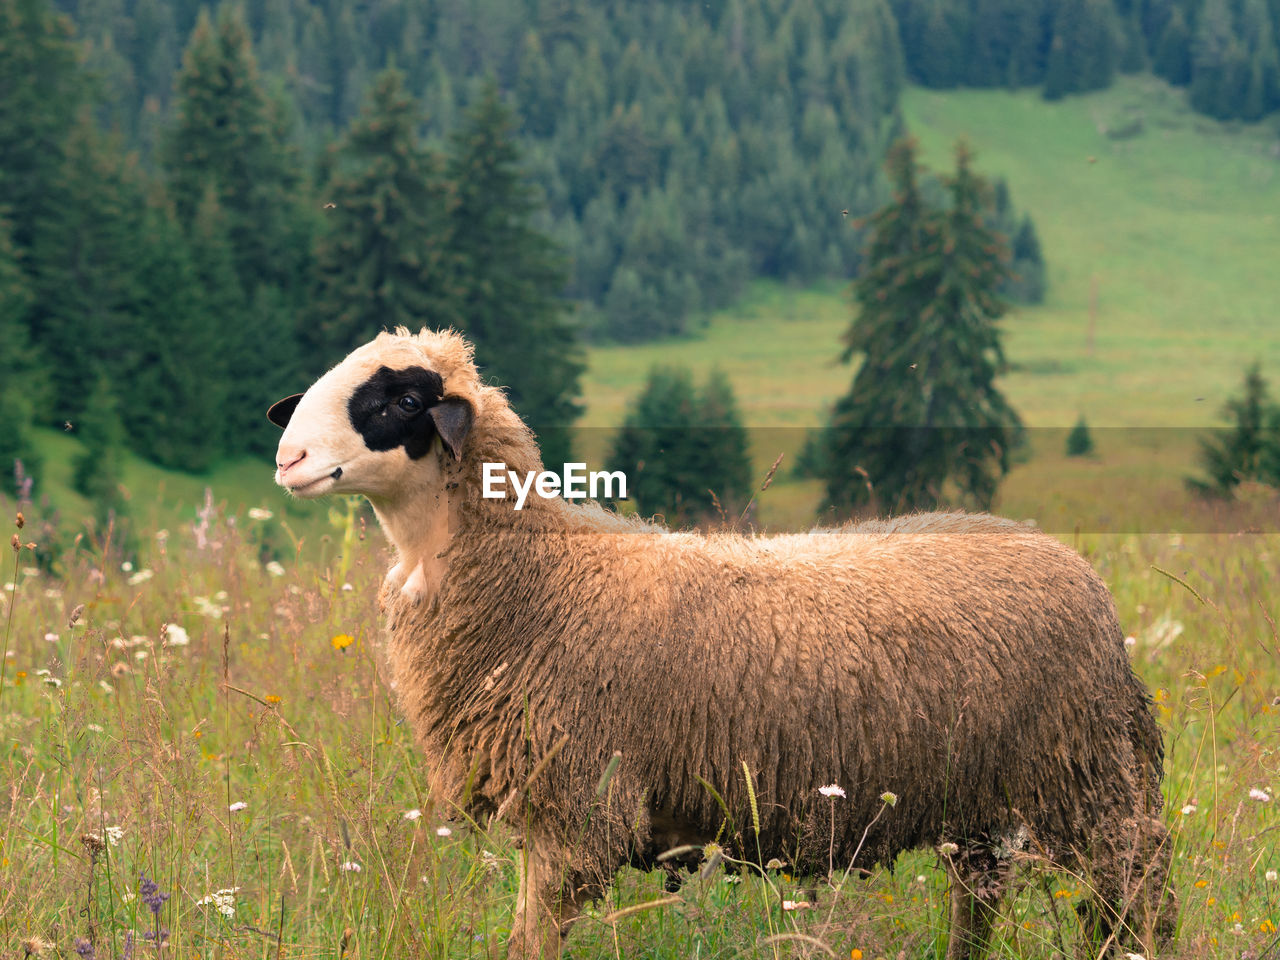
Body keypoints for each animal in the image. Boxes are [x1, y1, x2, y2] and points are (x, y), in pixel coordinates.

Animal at [267, 330, 1172, 960]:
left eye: (397, 399)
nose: (287, 456)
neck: (541, 571)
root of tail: (1073, 566)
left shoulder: (577, 809)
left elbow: (531, 942)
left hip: (1085, 779)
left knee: (1137, 889)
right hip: (983, 798)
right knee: (980, 900)